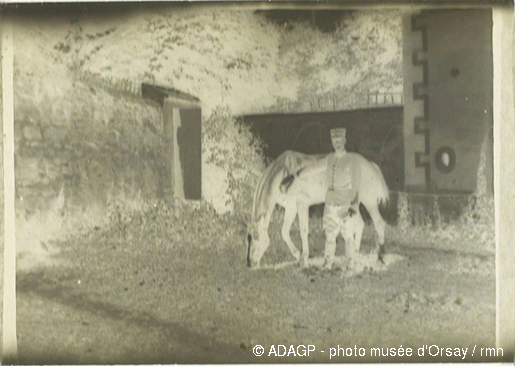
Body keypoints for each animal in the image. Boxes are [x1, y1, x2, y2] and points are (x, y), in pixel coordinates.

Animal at [248, 150, 390, 268]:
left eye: (255, 237)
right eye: (247, 238)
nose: (250, 264)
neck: (282, 175)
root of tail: (371, 165)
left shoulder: (302, 204)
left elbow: (303, 230)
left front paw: (304, 259)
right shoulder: (291, 207)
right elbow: (284, 231)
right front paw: (297, 255)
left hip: (369, 201)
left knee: (379, 223)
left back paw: (380, 257)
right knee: (360, 224)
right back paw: (354, 255)